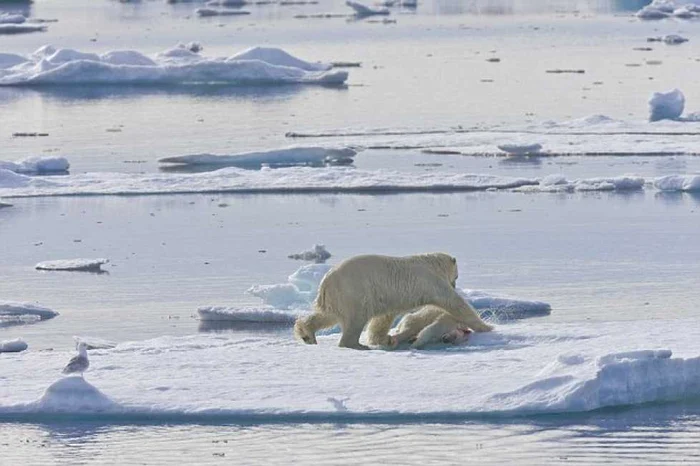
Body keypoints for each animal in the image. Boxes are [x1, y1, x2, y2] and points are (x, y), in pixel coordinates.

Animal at [292, 255, 494, 350]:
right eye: (456, 276)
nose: (454, 284)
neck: (431, 263)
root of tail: (326, 281)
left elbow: (384, 317)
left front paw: (384, 338)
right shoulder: (430, 281)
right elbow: (453, 302)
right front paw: (487, 327)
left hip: (338, 297)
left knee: (328, 316)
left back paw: (306, 334)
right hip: (354, 291)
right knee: (355, 319)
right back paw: (357, 345)